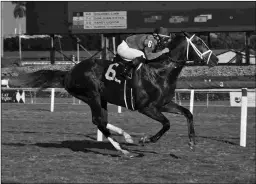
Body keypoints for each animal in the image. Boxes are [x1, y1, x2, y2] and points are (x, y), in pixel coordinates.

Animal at [9, 32, 218, 157]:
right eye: (198, 42)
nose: (215, 59)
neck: (160, 71)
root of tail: (68, 73)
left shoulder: (163, 104)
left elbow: (188, 113)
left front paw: (192, 142)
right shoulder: (145, 107)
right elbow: (166, 124)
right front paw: (146, 140)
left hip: (100, 99)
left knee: (101, 121)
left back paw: (125, 137)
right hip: (91, 96)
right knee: (99, 121)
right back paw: (124, 149)